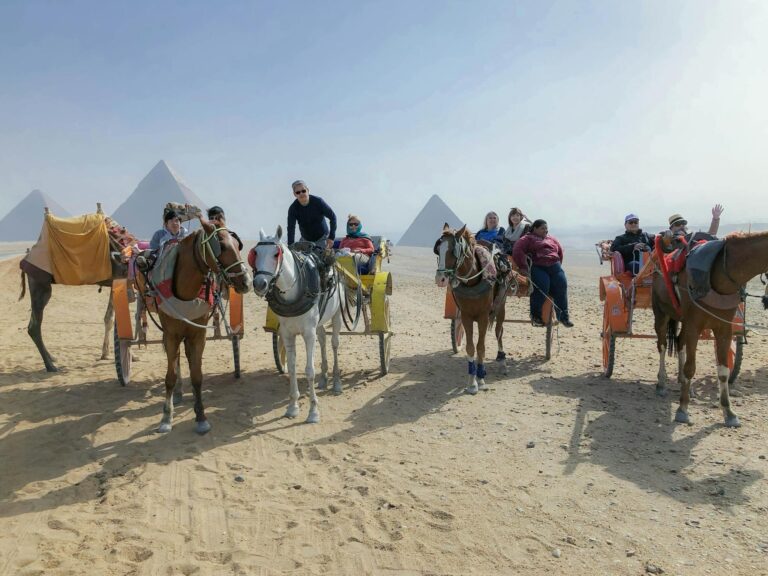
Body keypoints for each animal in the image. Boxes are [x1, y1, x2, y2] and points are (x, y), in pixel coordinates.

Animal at [152, 220, 254, 432]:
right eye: (221, 246)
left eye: (238, 244)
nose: (247, 282)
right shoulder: (171, 335)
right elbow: (170, 376)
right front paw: (166, 417)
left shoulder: (198, 335)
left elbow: (197, 375)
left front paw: (201, 416)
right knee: (176, 360)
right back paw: (177, 394)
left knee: (187, 359)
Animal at [250, 226, 344, 424]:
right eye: (255, 252)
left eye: (276, 253)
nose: (260, 283)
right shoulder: (287, 333)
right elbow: (292, 368)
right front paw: (292, 407)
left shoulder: (308, 333)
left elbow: (309, 370)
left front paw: (313, 411)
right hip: (319, 323)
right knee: (323, 340)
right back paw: (324, 378)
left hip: (337, 315)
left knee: (334, 344)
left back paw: (337, 382)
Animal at [436, 223, 508, 394]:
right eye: (438, 249)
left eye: (453, 251)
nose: (440, 279)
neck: (472, 281)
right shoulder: (466, 316)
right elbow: (470, 348)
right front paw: (471, 382)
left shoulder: (483, 317)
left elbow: (480, 347)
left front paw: (480, 379)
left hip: (501, 307)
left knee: (499, 332)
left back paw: (502, 360)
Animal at [652, 231, 768, 428]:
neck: (721, 272)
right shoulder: (694, 326)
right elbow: (690, 368)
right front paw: (682, 409)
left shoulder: (724, 329)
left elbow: (723, 371)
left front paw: (729, 412)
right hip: (661, 314)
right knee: (662, 345)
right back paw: (661, 383)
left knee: (680, 342)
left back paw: (684, 384)